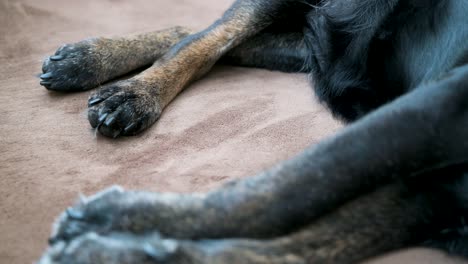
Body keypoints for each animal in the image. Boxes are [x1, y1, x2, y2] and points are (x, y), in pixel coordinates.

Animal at [37, 0, 468, 262]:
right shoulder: (436, 106)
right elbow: (292, 188)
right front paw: (108, 218)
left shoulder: (435, 191)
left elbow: (287, 247)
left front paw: (113, 247)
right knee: (205, 41)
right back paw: (124, 84)